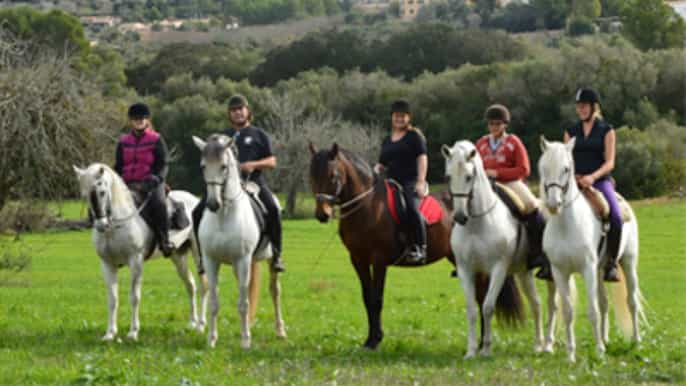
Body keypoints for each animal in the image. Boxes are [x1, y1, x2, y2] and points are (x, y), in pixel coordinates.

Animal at [73, 163, 207, 340]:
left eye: (102, 192)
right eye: (84, 194)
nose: (101, 225)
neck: (116, 226)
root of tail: (194, 200)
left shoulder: (135, 261)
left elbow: (134, 297)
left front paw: (133, 332)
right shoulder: (107, 264)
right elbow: (112, 299)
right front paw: (110, 333)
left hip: (198, 254)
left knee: (204, 285)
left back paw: (201, 325)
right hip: (178, 257)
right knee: (190, 284)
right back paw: (192, 323)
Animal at [194, 134, 288, 348]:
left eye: (223, 166)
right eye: (203, 166)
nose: (213, 204)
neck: (224, 217)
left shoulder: (243, 260)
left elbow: (243, 303)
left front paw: (245, 341)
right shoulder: (211, 261)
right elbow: (214, 302)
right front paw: (212, 339)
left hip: (268, 261)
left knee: (275, 291)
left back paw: (280, 330)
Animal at [310, 142, 524, 350]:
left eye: (333, 176)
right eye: (311, 175)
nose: (322, 214)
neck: (367, 206)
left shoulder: (379, 260)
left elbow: (377, 299)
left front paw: (376, 340)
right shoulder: (358, 259)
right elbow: (367, 299)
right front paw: (369, 340)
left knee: (481, 297)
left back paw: (480, 344)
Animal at [444, 141, 556, 358]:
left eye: (469, 176)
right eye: (449, 176)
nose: (460, 217)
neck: (477, 224)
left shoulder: (498, 269)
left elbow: (488, 307)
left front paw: (486, 349)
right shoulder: (466, 270)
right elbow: (472, 310)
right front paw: (471, 351)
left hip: (554, 274)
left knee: (553, 304)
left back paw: (547, 345)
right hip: (523, 272)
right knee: (536, 304)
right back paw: (537, 345)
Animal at [540, 138, 648, 362]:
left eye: (566, 168)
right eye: (543, 168)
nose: (554, 204)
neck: (567, 225)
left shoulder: (587, 269)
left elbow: (592, 310)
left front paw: (598, 352)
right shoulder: (559, 272)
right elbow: (568, 311)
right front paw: (571, 355)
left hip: (628, 262)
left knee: (631, 302)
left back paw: (636, 341)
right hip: (600, 269)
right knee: (605, 302)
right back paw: (606, 339)